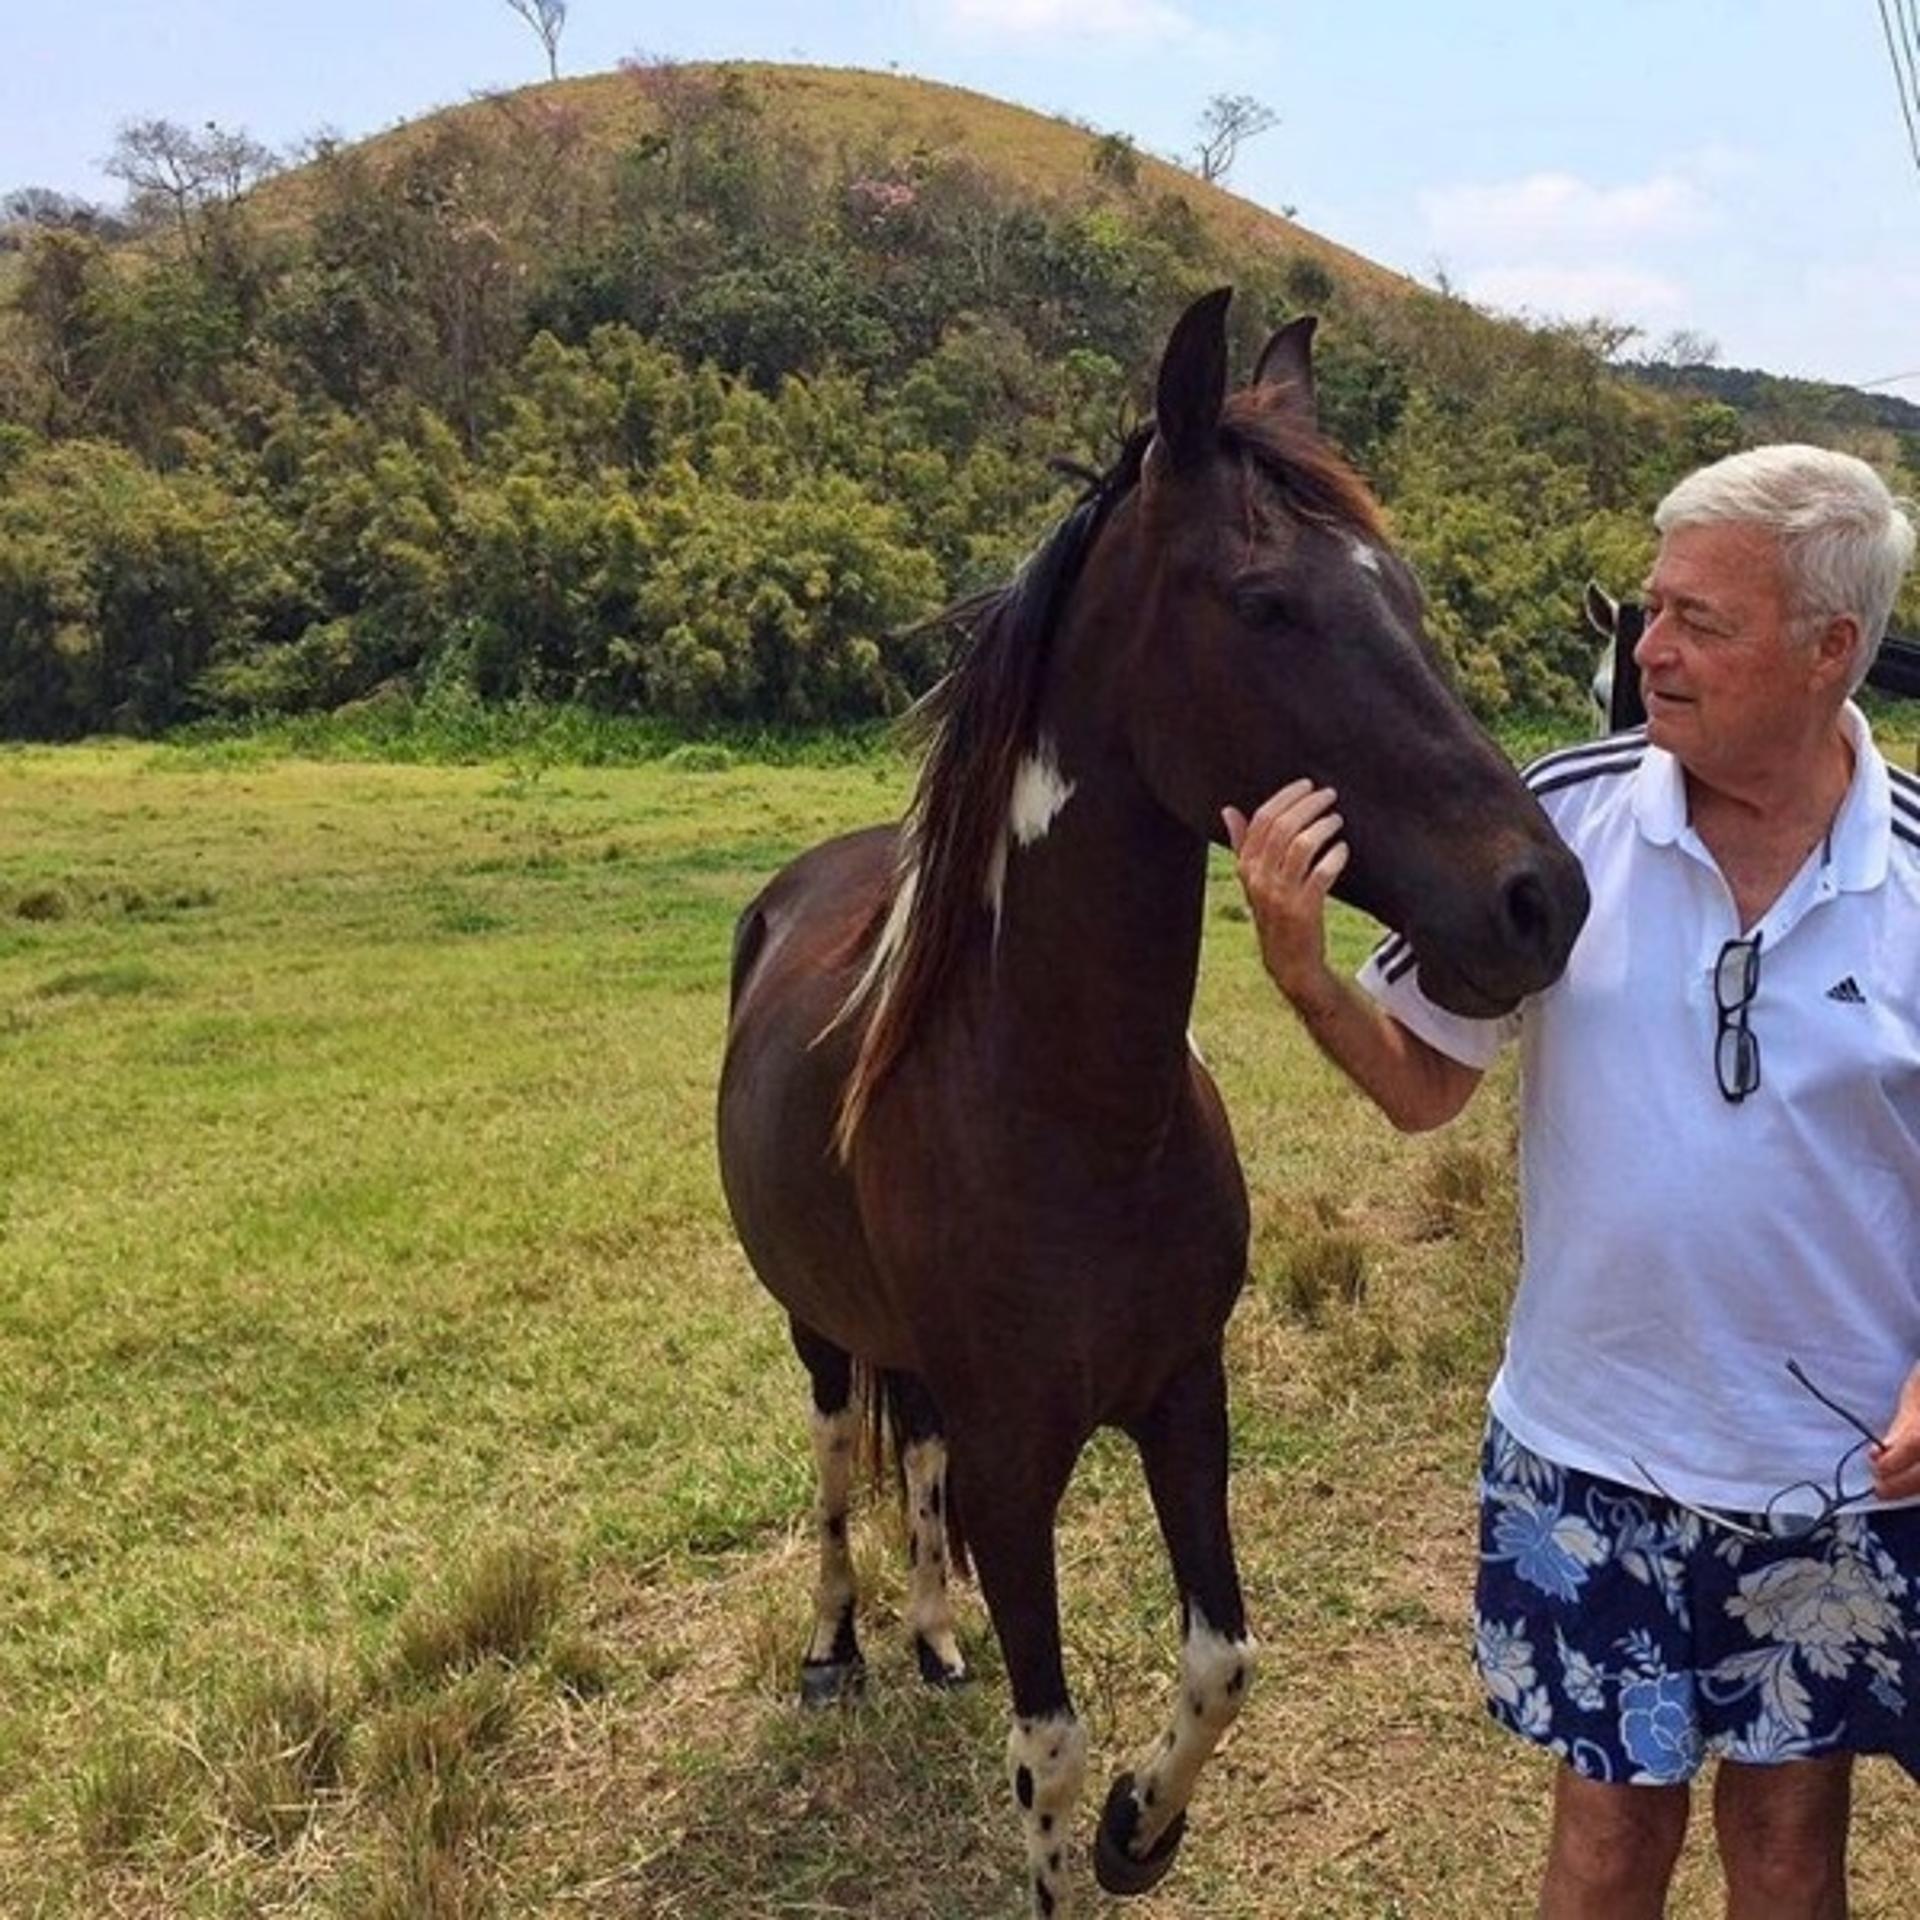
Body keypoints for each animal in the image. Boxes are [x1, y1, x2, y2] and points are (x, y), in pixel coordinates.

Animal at [721, 288, 1589, 1920]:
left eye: (1407, 598)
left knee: (908, 1459)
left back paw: (935, 1638)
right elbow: (1048, 1750)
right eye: (1266, 606)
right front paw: (1086, 1830)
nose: (1542, 900)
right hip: (815, 1328)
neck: (1070, 1112)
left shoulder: (1187, 1397)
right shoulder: (1018, 1470)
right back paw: (837, 1647)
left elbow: (1222, 1659)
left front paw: (1144, 1823)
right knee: (837, 1462)